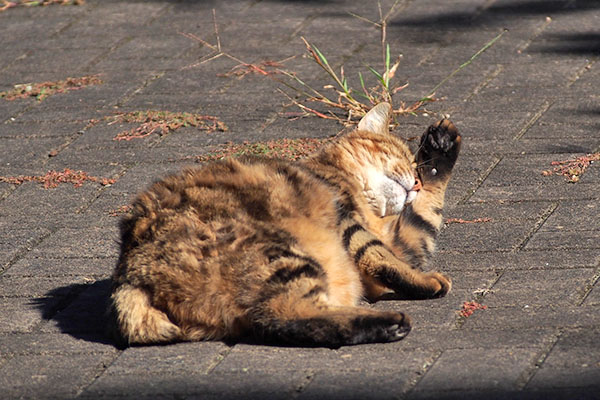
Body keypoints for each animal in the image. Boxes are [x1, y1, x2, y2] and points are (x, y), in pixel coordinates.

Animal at [108, 103, 462, 346]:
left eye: (415, 169)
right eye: (402, 156)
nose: (415, 182)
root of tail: (131, 274)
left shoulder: (404, 240)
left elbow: (426, 215)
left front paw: (441, 149)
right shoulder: (349, 224)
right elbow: (383, 257)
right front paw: (428, 281)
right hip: (281, 255)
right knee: (282, 316)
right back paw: (390, 322)